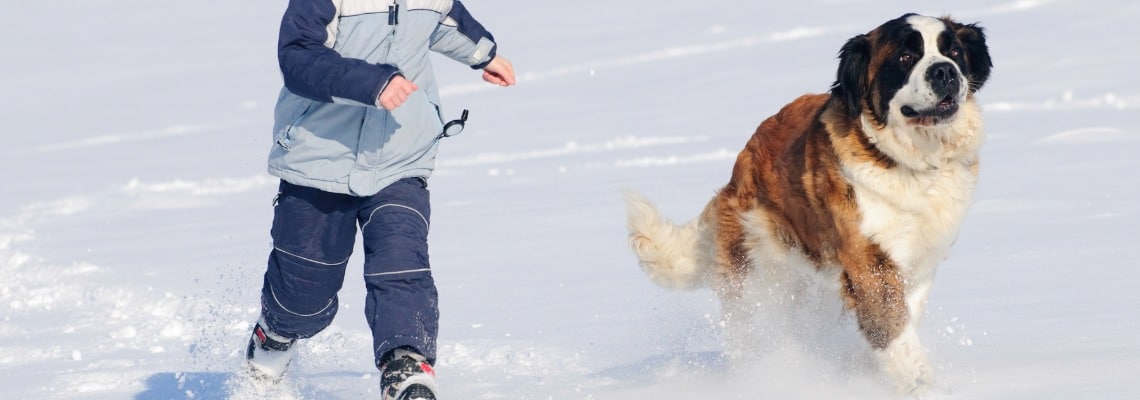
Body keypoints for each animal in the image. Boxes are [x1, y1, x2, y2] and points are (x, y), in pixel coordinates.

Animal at [629, 14, 994, 396]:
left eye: (953, 51)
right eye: (905, 58)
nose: (945, 71)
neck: (911, 161)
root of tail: (738, 169)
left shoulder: (920, 261)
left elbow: (903, 317)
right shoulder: (870, 262)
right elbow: (895, 330)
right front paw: (920, 385)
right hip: (756, 282)